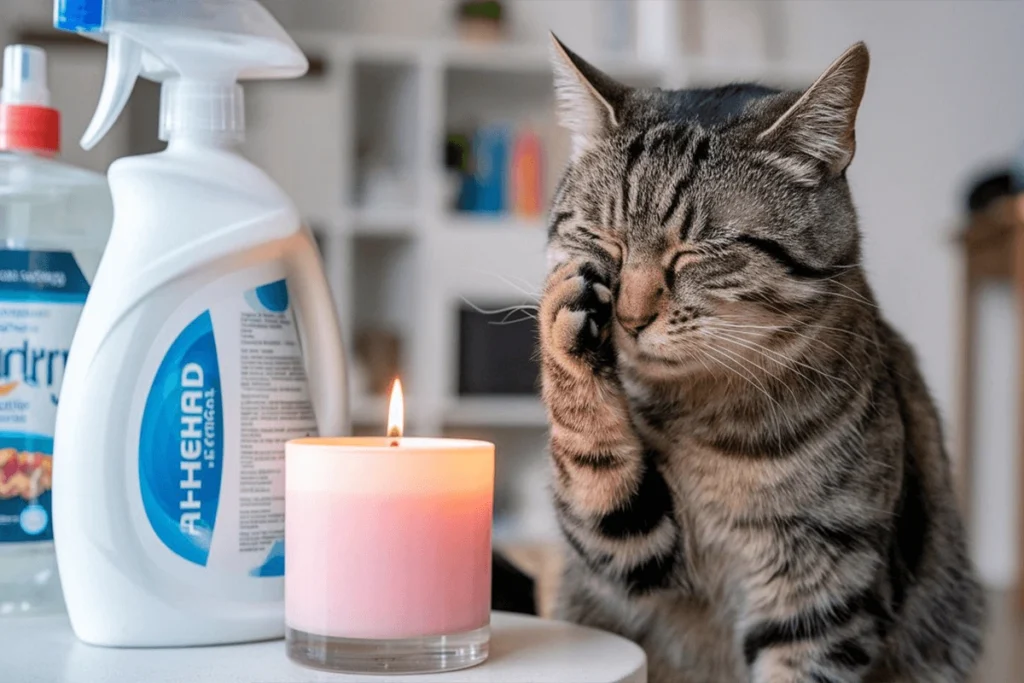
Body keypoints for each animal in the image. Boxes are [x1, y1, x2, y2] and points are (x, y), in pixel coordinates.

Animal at [544, 36, 983, 683]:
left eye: (699, 250)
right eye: (606, 239)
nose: (628, 318)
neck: (707, 418)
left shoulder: (823, 588)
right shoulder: (631, 551)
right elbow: (594, 467)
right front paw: (562, 315)